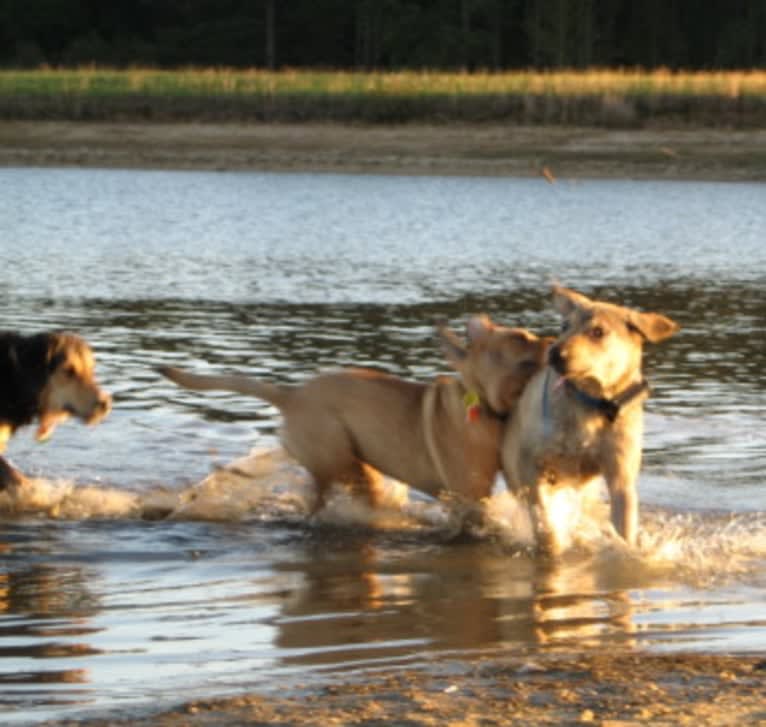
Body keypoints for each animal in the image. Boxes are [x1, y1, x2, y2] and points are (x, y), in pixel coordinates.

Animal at [160, 318, 552, 516]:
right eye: (520, 338)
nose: (553, 341)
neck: (484, 405)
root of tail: (290, 395)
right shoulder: (469, 496)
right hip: (341, 459)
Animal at [508, 288, 680, 556]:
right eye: (564, 325)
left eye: (598, 332)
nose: (554, 353)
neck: (593, 405)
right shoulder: (530, 463)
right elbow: (542, 517)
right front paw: (551, 545)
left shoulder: (621, 476)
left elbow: (624, 530)